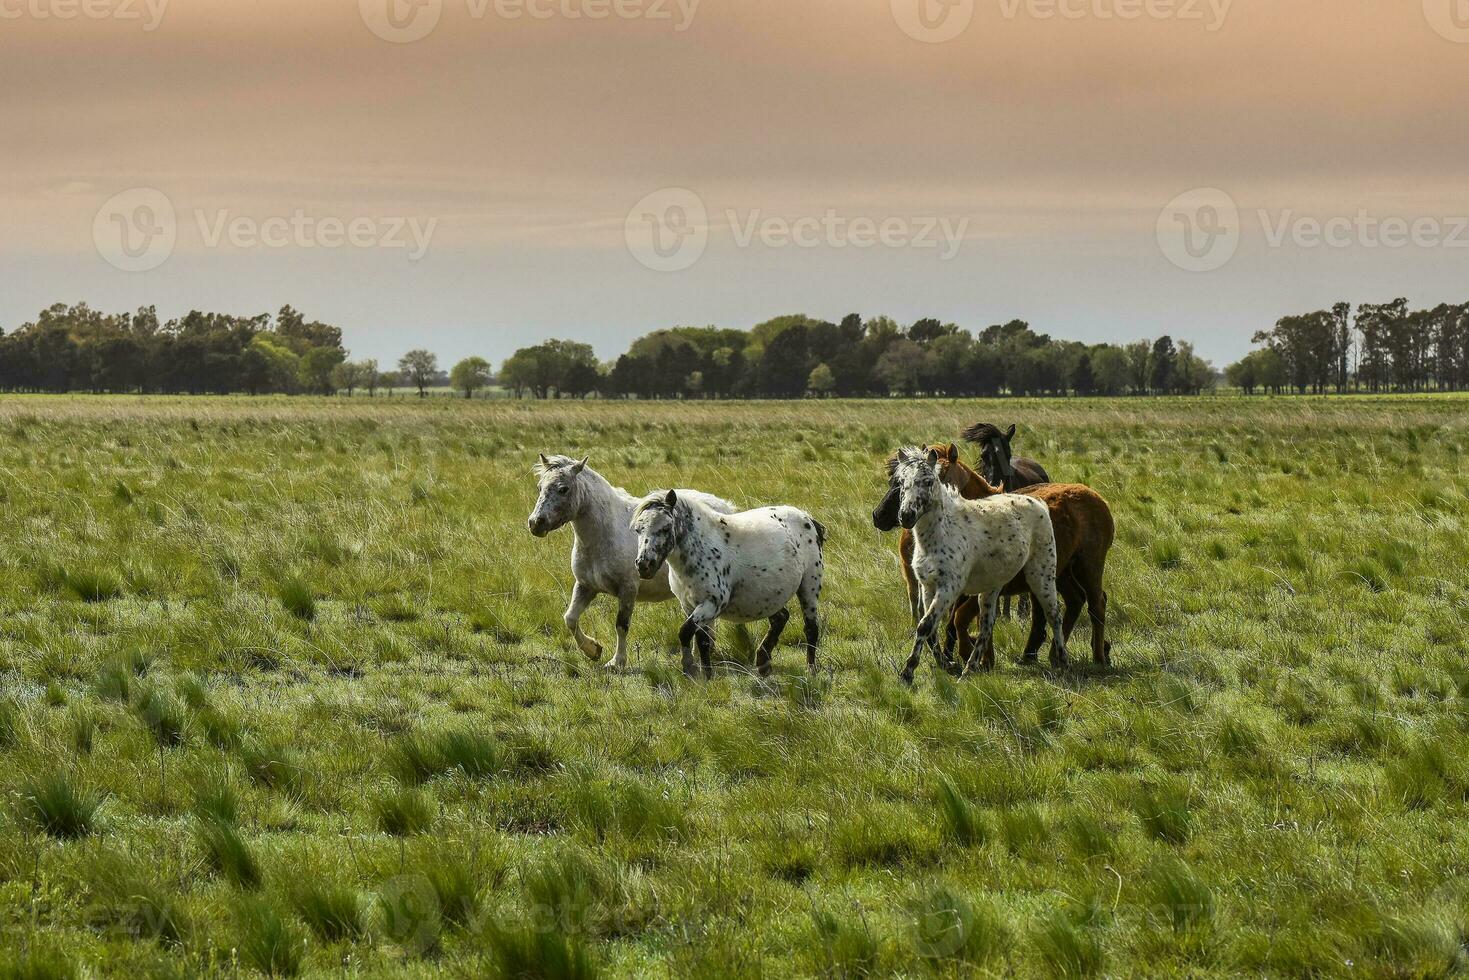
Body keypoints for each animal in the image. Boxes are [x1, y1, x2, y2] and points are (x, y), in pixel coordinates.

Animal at [525, 455, 734, 669]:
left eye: (563, 489)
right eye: (540, 487)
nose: (535, 523)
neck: (604, 535)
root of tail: (723, 505)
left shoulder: (628, 589)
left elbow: (621, 625)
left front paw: (617, 662)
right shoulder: (585, 586)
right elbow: (570, 618)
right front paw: (593, 650)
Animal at [628, 487, 828, 678]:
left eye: (666, 528)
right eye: (638, 529)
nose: (644, 565)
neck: (701, 548)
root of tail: (807, 518)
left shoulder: (711, 604)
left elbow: (685, 632)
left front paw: (689, 669)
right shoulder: (690, 606)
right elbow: (702, 640)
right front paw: (707, 676)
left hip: (809, 587)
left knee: (811, 628)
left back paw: (810, 671)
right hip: (769, 595)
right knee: (781, 618)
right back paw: (763, 664)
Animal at [869, 446, 1110, 669]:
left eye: (932, 480)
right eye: (898, 480)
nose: (880, 516)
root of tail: (1095, 497)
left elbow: (960, 620)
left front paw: (972, 657)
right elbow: (958, 623)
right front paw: (970, 658)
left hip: (1087, 567)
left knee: (1095, 604)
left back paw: (1098, 656)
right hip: (1062, 574)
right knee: (1073, 601)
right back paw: (1048, 656)